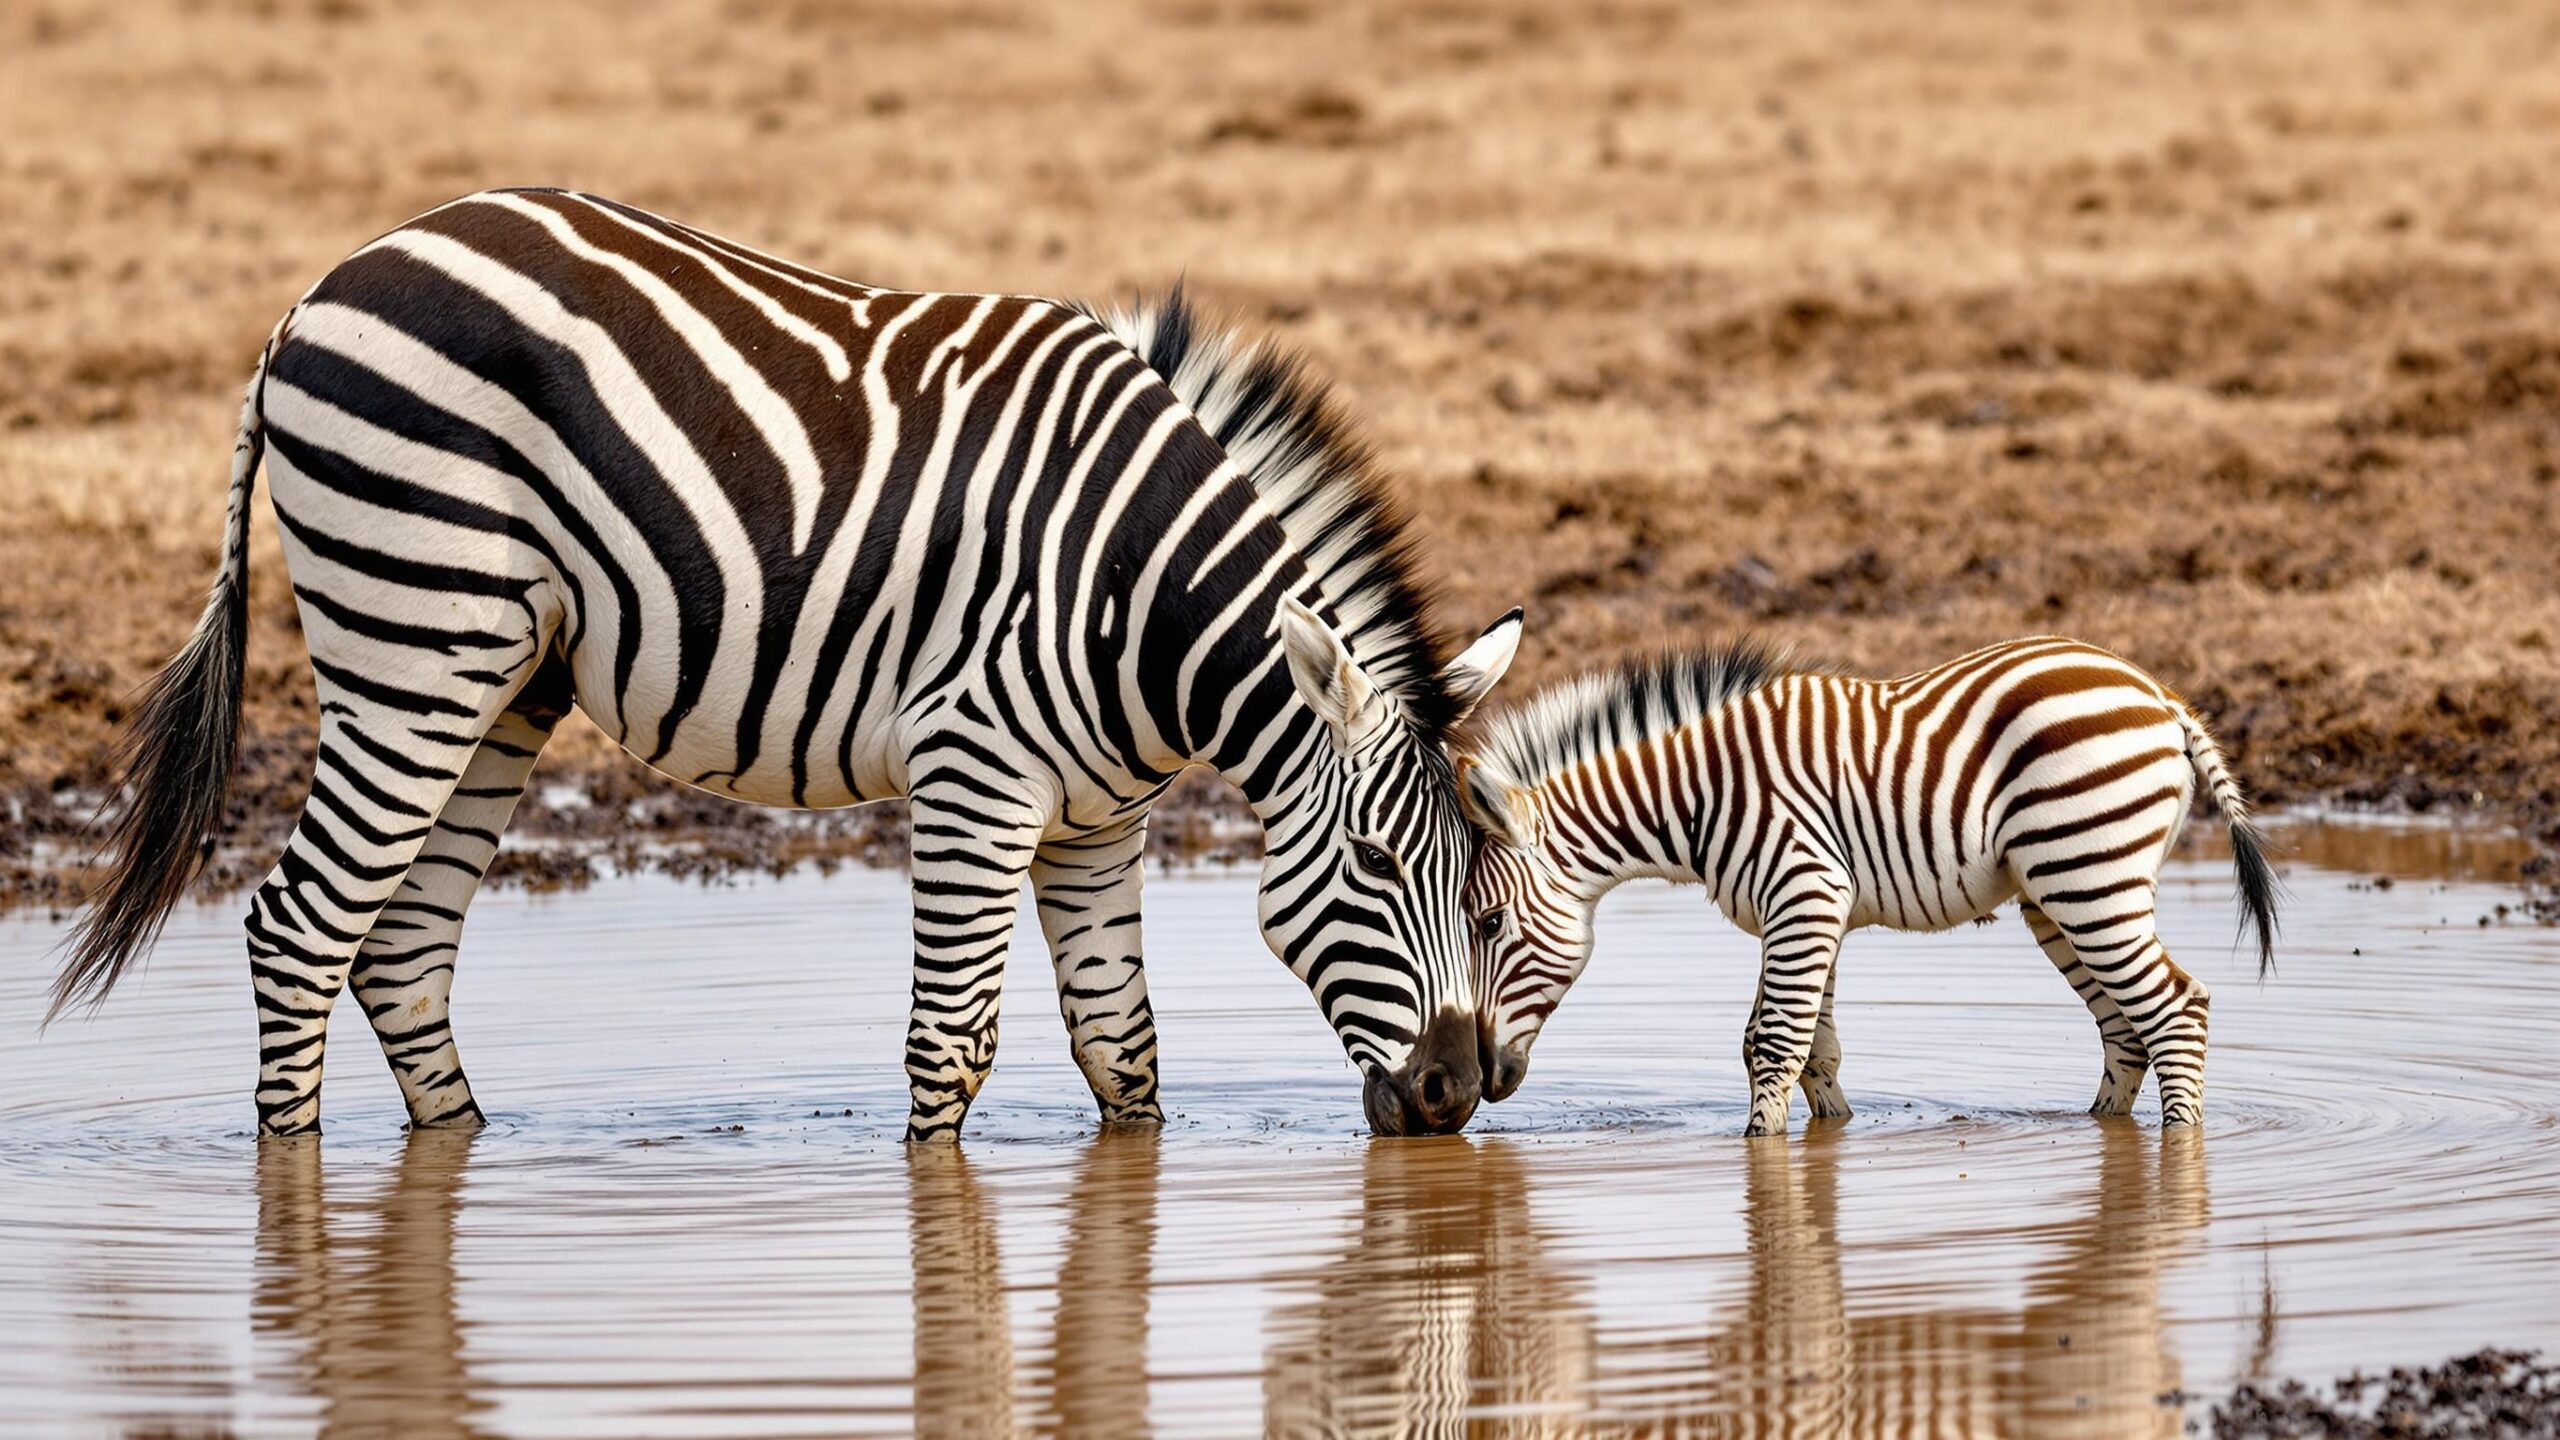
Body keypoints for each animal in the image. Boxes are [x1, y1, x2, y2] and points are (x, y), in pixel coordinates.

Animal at [48, 188, 1525, 1141]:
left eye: (1484, 885)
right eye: (1377, 865)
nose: (1456, 1096)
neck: (1139, 597)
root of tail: (320, 289)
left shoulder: (1096, 822)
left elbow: (1124, 1049)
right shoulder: (975, 777)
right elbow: (951, 1043)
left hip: (502, 680)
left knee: (399, 949)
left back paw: (463, 1156)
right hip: (413, 643)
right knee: (302, 928)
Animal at [1456, 636, 2278, 1134]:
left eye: (1487, 923)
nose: (1484, 1078)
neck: (1695, 795)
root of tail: (2163, 699)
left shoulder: (1804, 892)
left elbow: (1771, 1042)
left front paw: (1760, 1151)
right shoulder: (1812, 913)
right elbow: (1813, 1049)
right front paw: (1831, 1136)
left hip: (2089, 875)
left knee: (2176, 1009)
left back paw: (2180, 1150)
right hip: (2059, 892)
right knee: (2125, 1028)